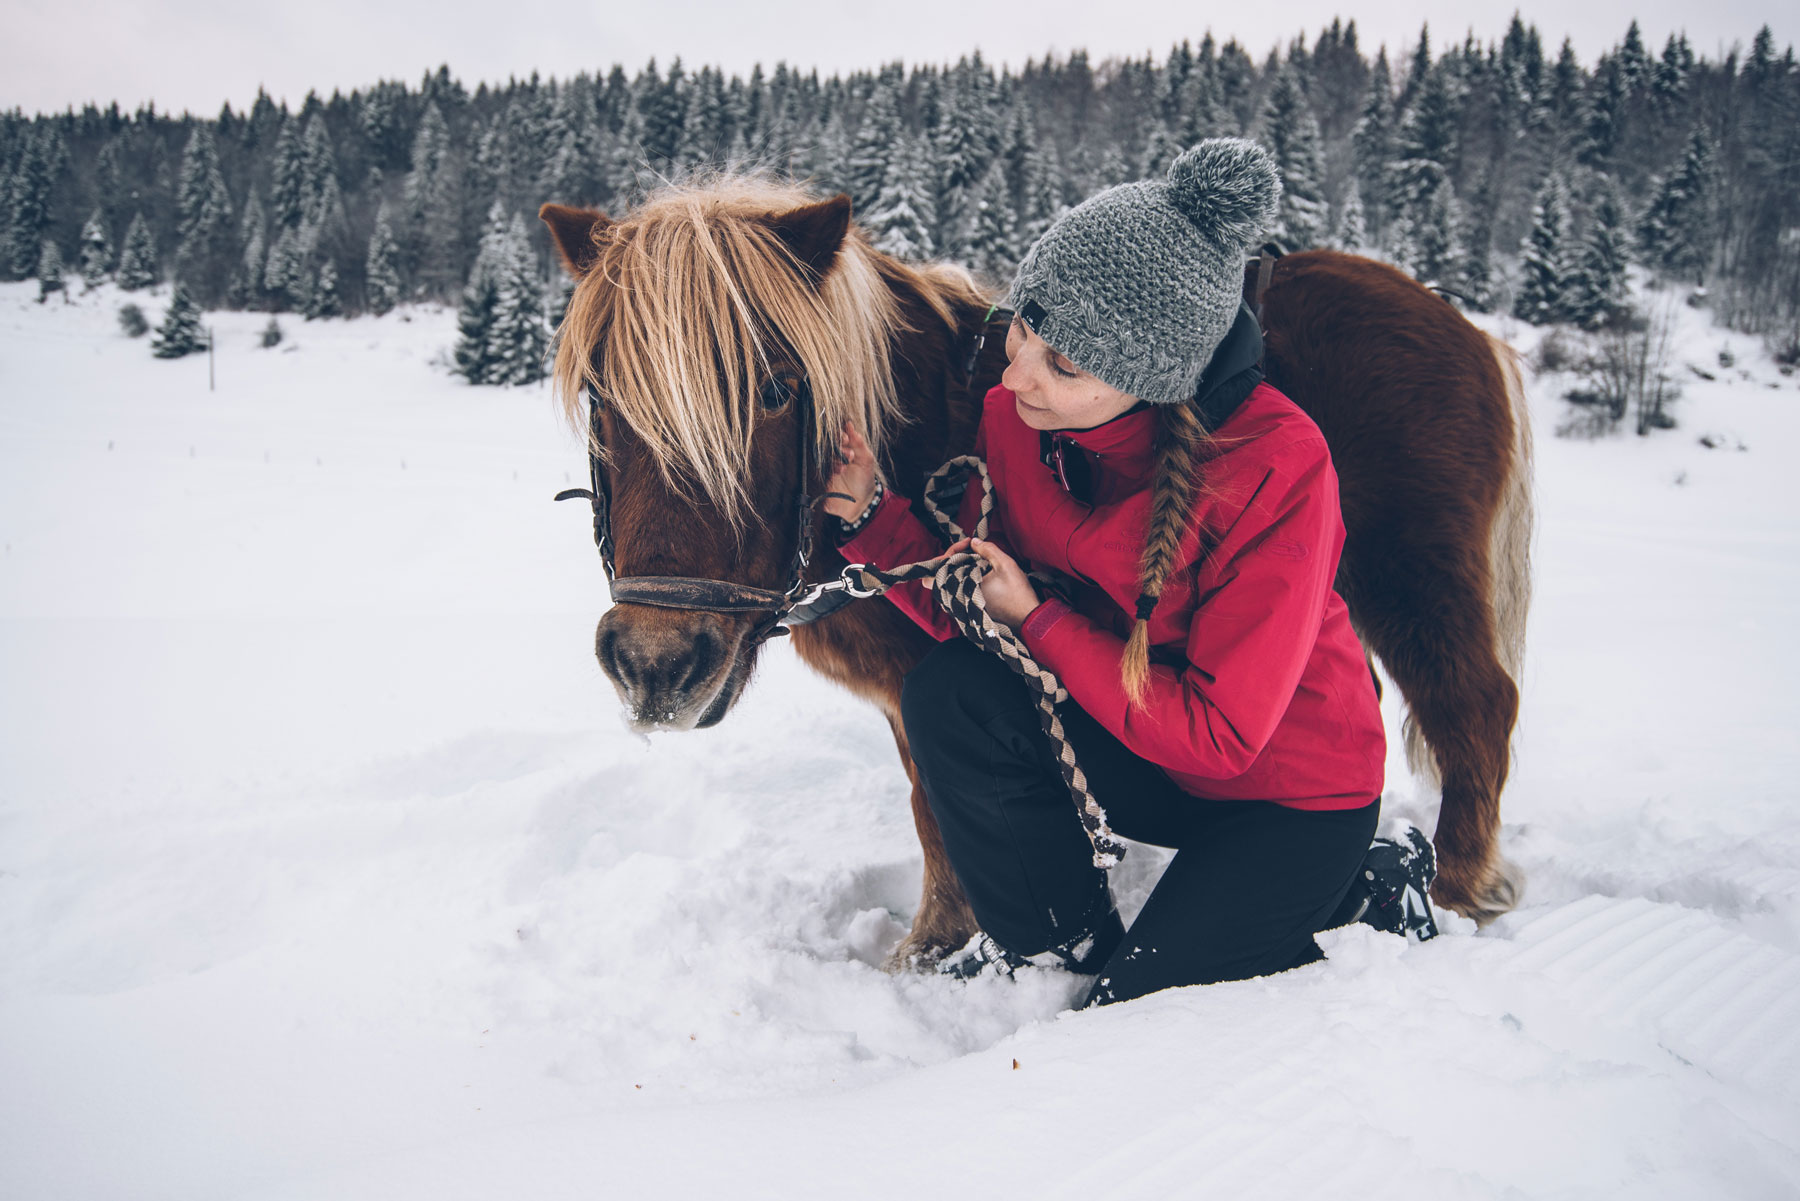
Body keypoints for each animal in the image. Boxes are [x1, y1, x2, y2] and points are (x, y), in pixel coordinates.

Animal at [536, 176, 1533, 965]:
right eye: (601, 394)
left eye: (777, 390)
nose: (655, 663)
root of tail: (1464, 328)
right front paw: (940, 941)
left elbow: (933, 807)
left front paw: (937, 948)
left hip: (1415, 581)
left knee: (1474, 707)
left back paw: (1454, 888)